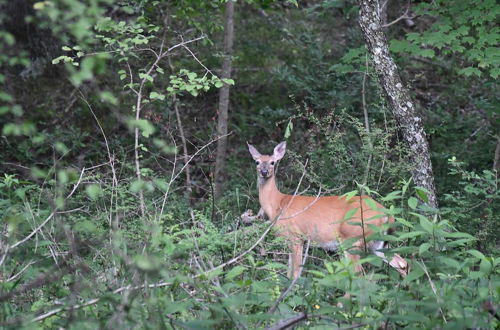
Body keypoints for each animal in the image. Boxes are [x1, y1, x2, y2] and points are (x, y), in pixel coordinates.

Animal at [248, 142, 408, 282]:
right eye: (256, 162)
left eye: (272, 162)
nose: (264, 172)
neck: (279, 203)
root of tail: (385, 212)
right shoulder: (289, 239)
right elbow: (288, 271)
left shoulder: (297, 236)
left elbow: (295, 273)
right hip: (378, 242)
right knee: (402, 263)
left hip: (352, 238)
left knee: (358, 273)